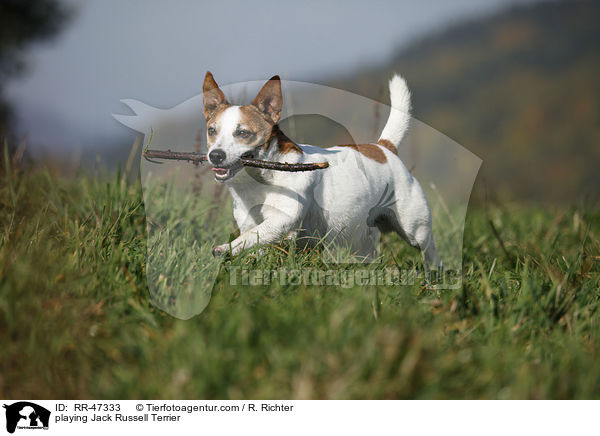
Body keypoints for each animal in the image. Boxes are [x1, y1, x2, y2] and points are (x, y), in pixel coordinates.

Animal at [203, 72, 440, 270]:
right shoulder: (249, 221)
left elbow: (252, 235)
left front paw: (223, 249)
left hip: (414, 228)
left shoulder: (282, 220)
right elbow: (251, 240)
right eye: (211, 131)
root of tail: (384, 148)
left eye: (243, 133)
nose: (215, 155)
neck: (259, 180)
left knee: (429, 250)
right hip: (362, 236)